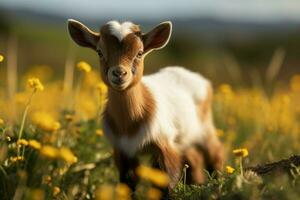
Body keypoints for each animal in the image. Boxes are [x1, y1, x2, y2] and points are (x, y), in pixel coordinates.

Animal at [67, 19, 223, 193]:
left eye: (140, 53)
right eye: (99, 52)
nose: (119, 73)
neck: (129, 124)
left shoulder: (165, 144)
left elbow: (166, 182)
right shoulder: (123, 150)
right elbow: (128, 182)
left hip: (204, 129)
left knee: (216, 153)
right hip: (184, 138)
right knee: (194, 160)